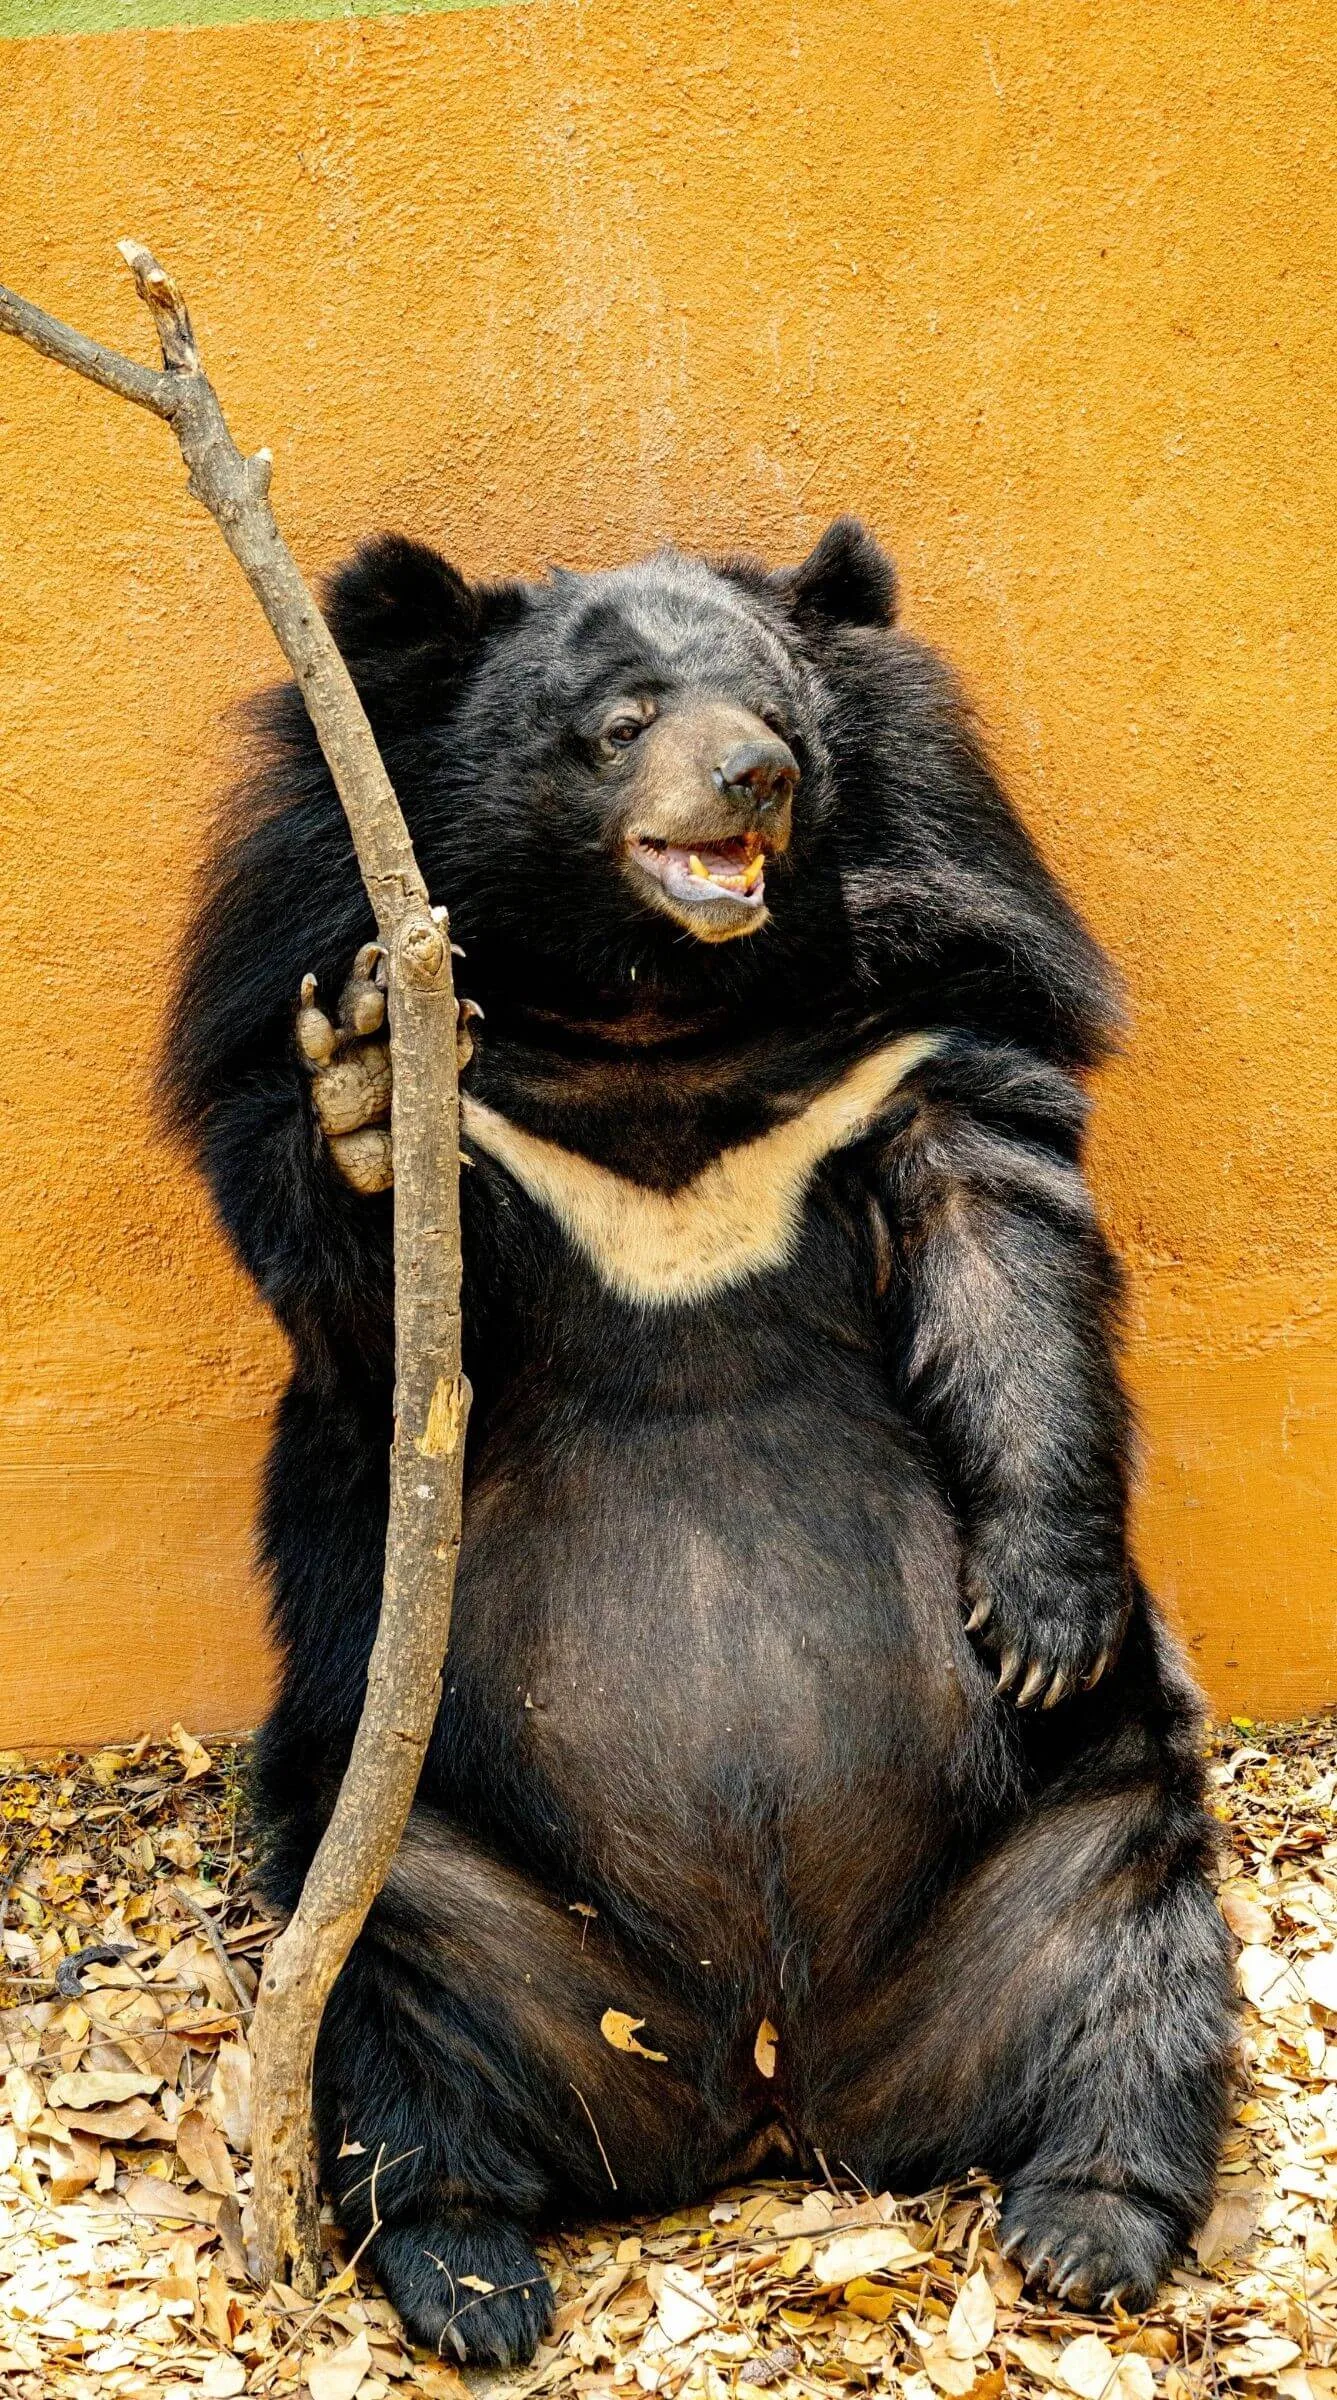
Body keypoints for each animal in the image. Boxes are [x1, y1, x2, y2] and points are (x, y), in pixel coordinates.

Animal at [163, 518, 1233, 2366]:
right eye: (619, 724)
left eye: (780, 711)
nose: (758, 777)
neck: (656, 1016)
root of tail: (776, 2090)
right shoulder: (338, 1018)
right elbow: (374, 1303)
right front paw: (366, 1085)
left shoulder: (918, 1024)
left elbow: (1004, 1245)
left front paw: (1041, 1616)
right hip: (416, 1851)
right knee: (393, 2024)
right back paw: (470, 2275)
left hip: (1078, 1825)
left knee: (1137, 1945)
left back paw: (1084, 2227)